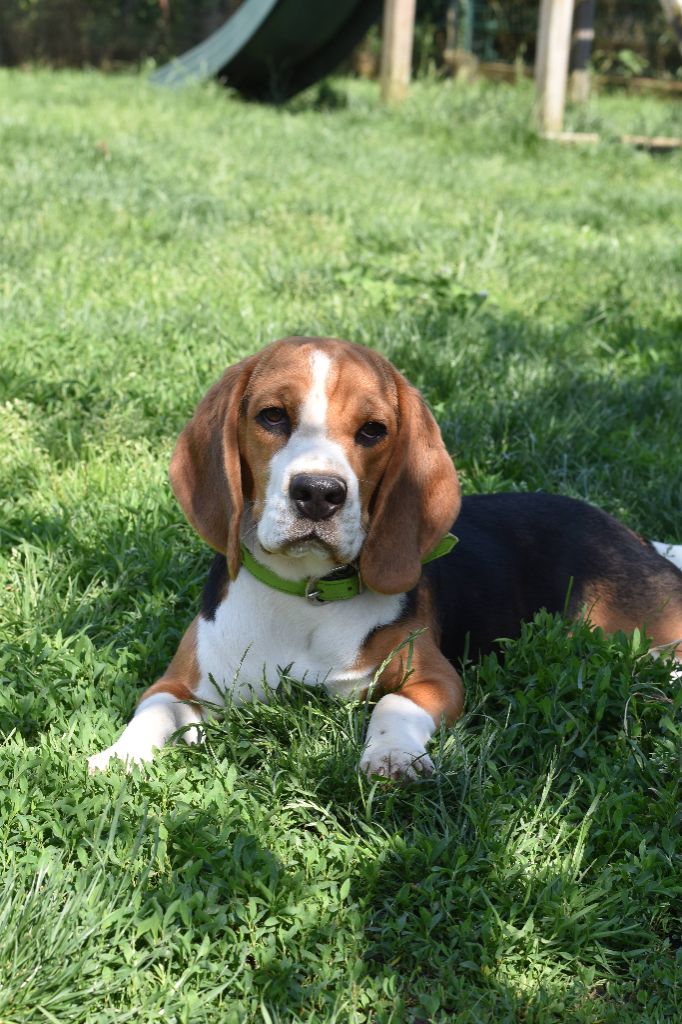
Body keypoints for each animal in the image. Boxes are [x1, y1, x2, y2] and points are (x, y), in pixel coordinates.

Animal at [87, 335, 679, 774]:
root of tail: (625, 530)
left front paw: (392, 756)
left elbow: (393, 704)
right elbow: (153, 710)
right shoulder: (182, 681)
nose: (318, 493)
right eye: (273, 417)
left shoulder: (437, 679)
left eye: (374, 431)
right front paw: (119, 756)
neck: (306, 598)